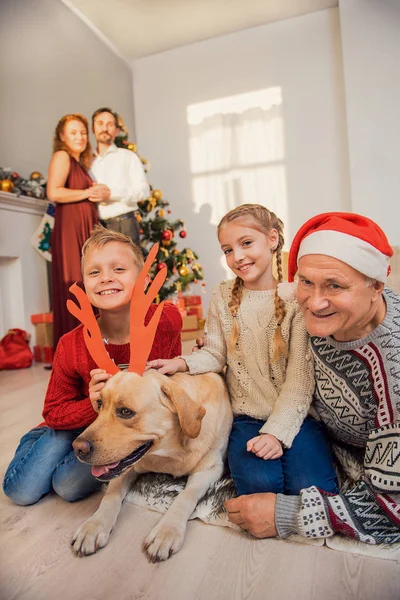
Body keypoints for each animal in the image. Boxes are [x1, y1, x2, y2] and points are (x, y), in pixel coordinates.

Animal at [71, 370, 231, 564]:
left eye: (126, 412)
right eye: (100, 404)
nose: (77, 448)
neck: (169, 453)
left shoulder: (210, 470)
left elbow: (185, 497)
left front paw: (166, 531)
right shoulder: (127, 467)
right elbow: (110, 495)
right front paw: (94, 525)